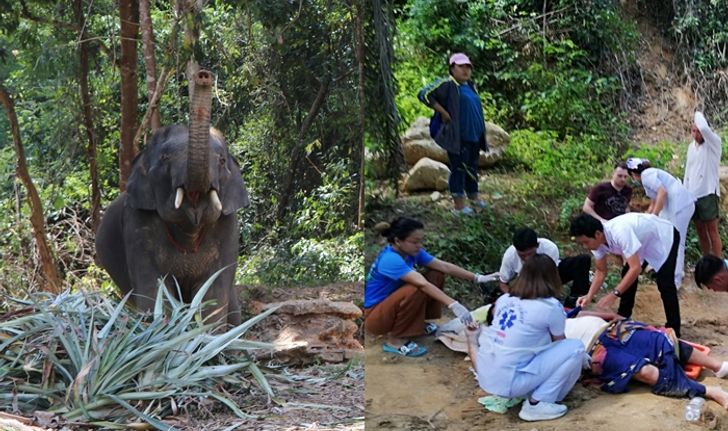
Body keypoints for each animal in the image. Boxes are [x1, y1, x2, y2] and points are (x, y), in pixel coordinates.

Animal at [95, 71, 249, 326]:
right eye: (165, 157)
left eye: (221, 161)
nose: (203, 75)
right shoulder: (137, 224)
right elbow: (153, 290)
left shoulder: (228, 227)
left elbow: (214, 295)